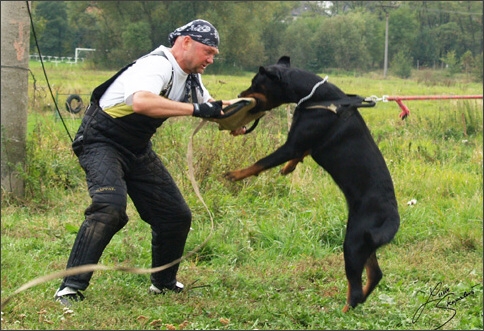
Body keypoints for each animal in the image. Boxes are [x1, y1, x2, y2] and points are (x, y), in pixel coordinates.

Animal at [225, 55, 398, 312]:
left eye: (255, 83)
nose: (239, 93)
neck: (316, 97)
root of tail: (392, 220)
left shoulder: (292, 143)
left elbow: (261, 162)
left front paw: (235, 174)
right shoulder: (303, 143)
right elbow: (301, 153)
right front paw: (288, 168)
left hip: (353, 241)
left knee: (355, 288)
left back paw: (344, 311)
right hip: (365, 245)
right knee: (375, 274)